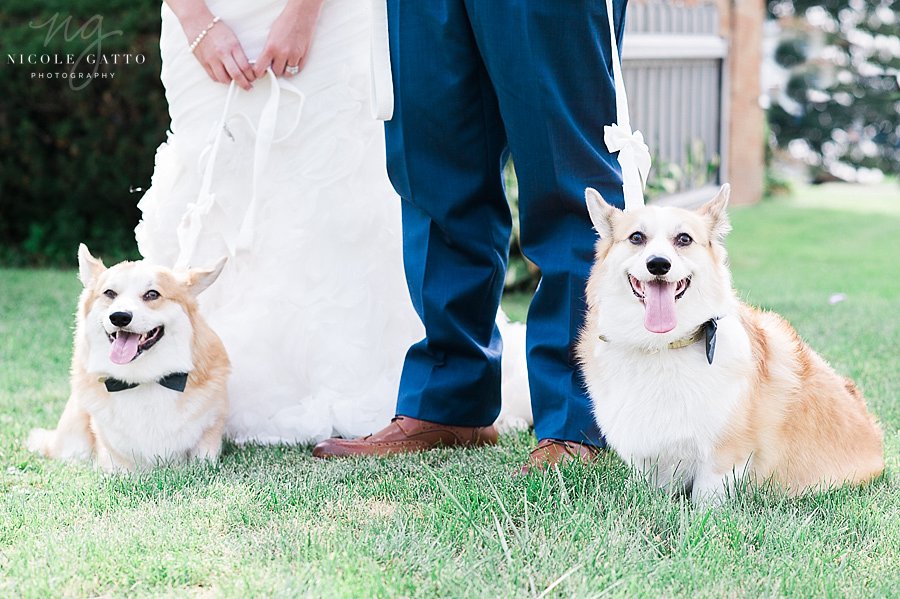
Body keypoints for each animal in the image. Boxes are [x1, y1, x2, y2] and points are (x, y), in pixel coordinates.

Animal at [580, 186, 884, 502]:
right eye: (636, 237)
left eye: (684, 239)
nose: (659, 264)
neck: (662, 345)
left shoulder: (724, 455)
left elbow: (706, 497)